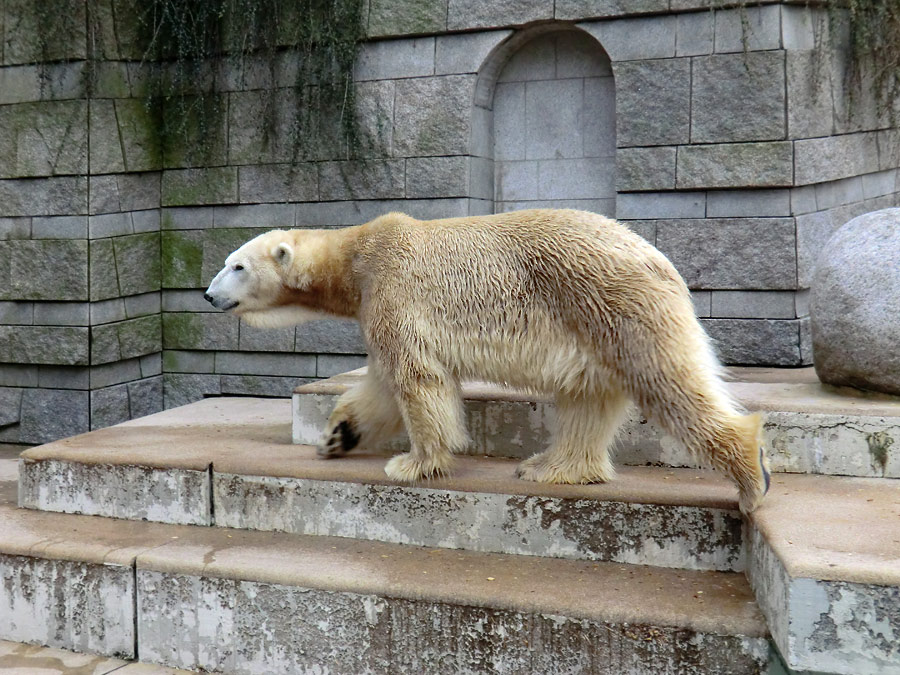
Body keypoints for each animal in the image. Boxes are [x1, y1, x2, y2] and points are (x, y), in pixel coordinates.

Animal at [207, 210, 768, 512]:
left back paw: (751, 477)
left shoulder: (394, 289)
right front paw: (337, 435)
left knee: (668, 383)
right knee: (588, 399)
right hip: (592, 321)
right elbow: (382, 384)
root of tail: (660, 260)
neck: (357, 255)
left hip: (614, 301)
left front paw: (414, 463)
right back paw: (550, 468)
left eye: (237, 265)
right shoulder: (375, 303)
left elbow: (416, 378)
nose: (209, 295)